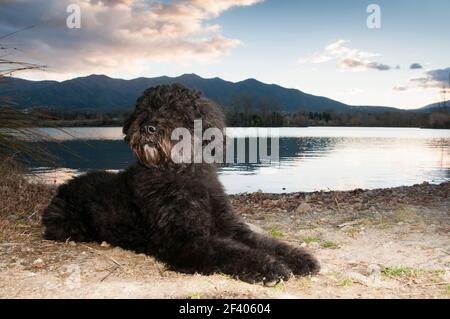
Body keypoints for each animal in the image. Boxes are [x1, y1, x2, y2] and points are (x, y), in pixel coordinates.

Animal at [40, 85, 318, 284]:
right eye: (145, 109)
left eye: (177, 112)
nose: (148, 127)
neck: (181, 175)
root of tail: (63, 186)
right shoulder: (183, 240)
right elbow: (228, 251)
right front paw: (267, 267)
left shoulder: (231, 227)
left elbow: (266, 242)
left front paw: (299, 258)